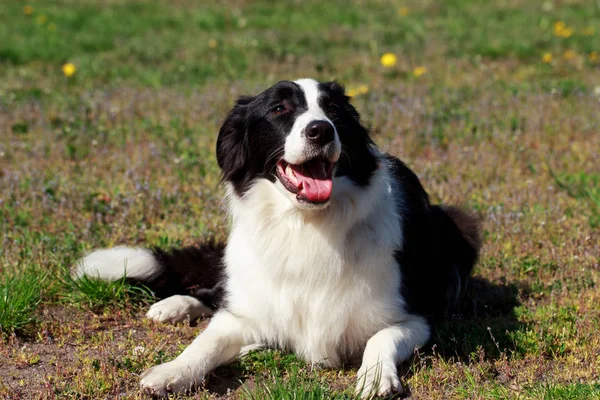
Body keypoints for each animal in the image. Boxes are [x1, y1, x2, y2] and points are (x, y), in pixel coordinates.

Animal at [72, 78, 480, 396]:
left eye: (334, 111)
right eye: (280, 109)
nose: (321, 130)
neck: (305, 225)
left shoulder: (415, 317)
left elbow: (381, 337)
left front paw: (376, 376)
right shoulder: (249, 309)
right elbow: (207, 341)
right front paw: (171, 372)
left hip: (460, 224)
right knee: (217, 292)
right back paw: (175, 304)